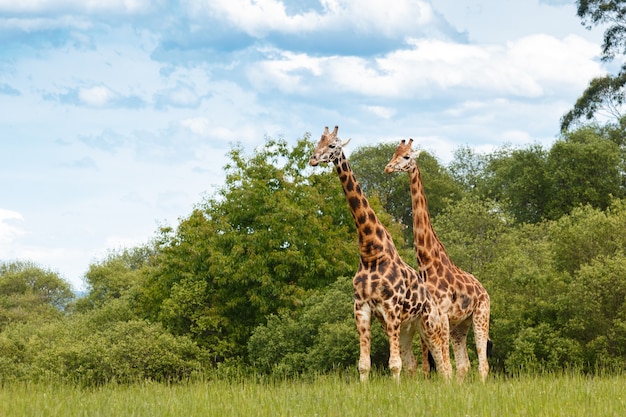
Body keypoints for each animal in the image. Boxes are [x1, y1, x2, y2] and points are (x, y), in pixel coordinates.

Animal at [306, 126, 448, 380]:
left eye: (332, 145)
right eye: (317, 143)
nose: (313, 159)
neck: (371, 253)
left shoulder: (390, 308)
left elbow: (394, 364)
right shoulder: (361, 308)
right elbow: (365, 364)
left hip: (429, 323)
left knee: (441, 363)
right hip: (408, 327)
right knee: (413, 363)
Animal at [382, 138, 490, 382]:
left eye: (406, 156)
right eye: (393, 153)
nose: (388, 168)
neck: (427, 262)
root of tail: (484, 290)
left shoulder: (442, 315)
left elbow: (442, 361)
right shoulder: (435, 317)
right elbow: (438, 362)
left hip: (481, 316)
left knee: (483, 363)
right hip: (461, 326)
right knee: (464, 364)